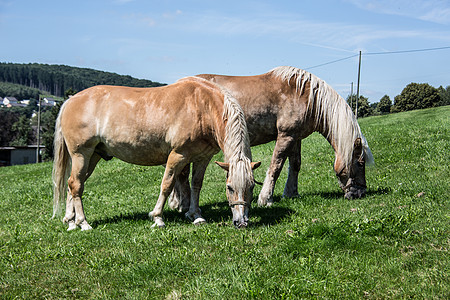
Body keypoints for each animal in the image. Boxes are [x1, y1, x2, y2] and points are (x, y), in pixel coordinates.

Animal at [51, 75, 260, 230]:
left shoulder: (203, 158)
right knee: (76, 184)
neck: (203, 107)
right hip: (81, 154)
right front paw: (157, 218)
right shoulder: (178, 155)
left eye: (251, 187)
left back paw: (71, 221)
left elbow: (196, 185)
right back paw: (83, 223)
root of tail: (70, 100)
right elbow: (167, 185)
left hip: (93, 156)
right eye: (230, 188)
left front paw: (196, 215)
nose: (241, 222)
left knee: (72, 184)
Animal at [169, 66, 372, 211]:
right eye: (360, 163)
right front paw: (265, 198)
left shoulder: (295, 137)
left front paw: (291, 193)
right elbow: (276, 166)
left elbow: (295, 165)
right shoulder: (285, 136)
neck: (306, 96)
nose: (360, 193)